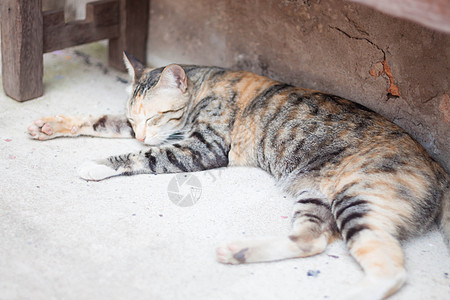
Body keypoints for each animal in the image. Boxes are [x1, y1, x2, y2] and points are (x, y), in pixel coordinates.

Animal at [29, 52, 450, 298]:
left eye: (155, 116)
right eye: (135, 119)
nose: (142, 131)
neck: (204, 86)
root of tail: (436, 165)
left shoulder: (202, 147)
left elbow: (143, 155)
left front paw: (98, 164)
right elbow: (102, 120)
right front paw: (52, 125)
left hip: (359, 197)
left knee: (388, 270)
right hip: (317, 195)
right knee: (310, 240)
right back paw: (239, 251)